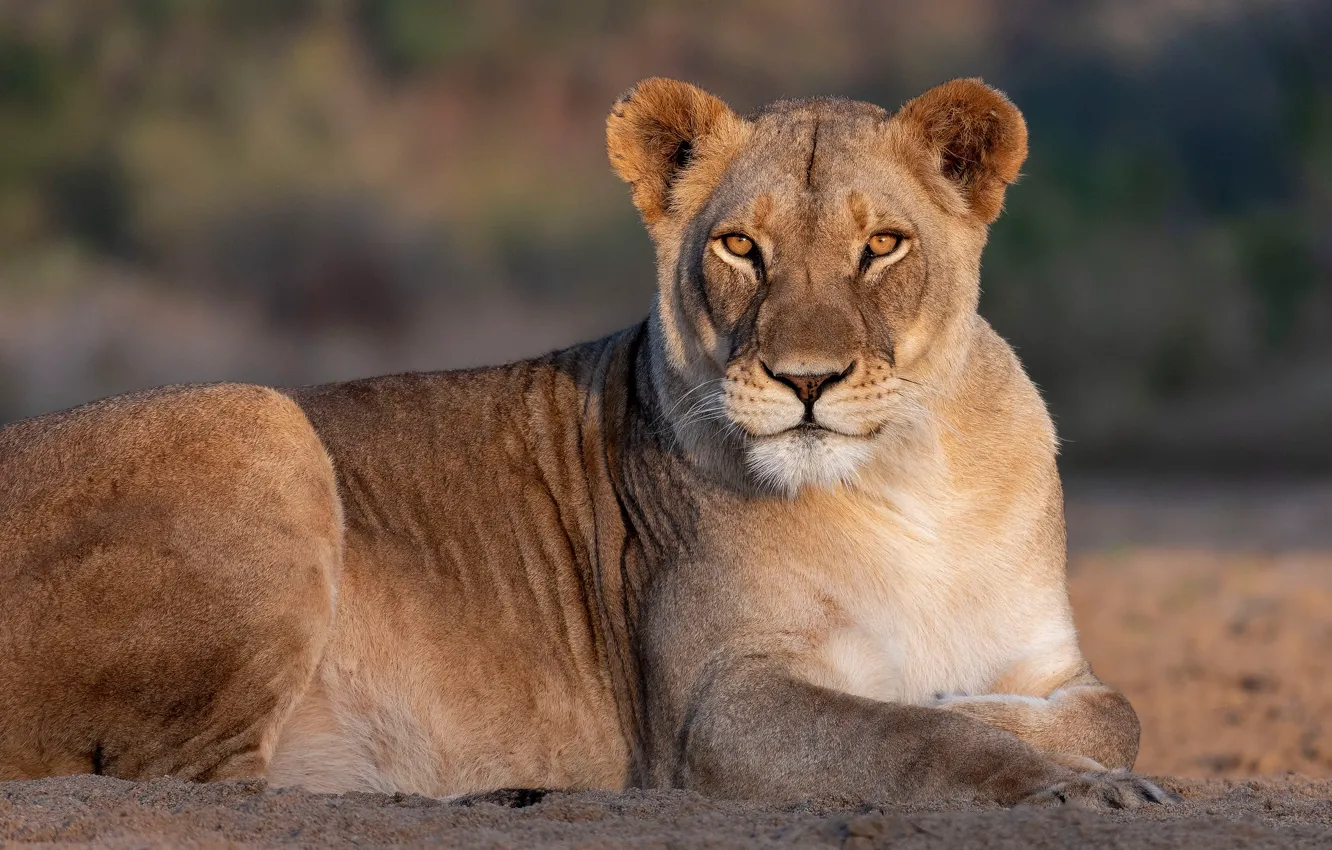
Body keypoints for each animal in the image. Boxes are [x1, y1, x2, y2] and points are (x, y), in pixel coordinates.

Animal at [0, 78, 1173, 809]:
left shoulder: (1048, 658)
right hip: (260, 422)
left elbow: (1111, 712)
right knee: (199, 783)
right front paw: (1060, 779)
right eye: (739, 247)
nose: (806, 382)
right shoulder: (710, 708)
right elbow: (914, 732)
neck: (903, 481)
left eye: (883, 244)